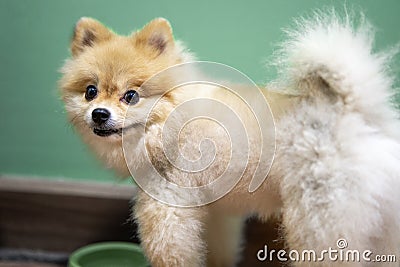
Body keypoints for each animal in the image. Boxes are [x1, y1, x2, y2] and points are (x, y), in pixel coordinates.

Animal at [60, 11, 400, 267]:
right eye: (90, 91)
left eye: (131, 96)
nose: (99, 114)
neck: (171, 122)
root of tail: (352, 111)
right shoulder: (215, 213)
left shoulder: (168, 211)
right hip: (381, 225)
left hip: (320, 220)